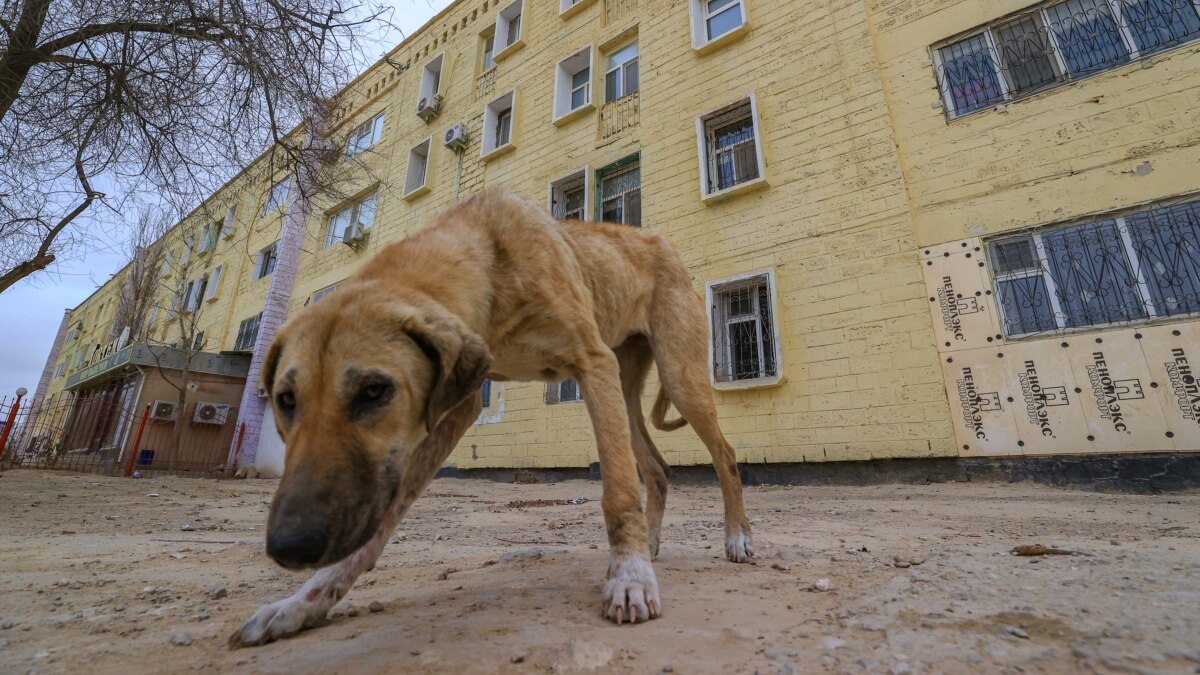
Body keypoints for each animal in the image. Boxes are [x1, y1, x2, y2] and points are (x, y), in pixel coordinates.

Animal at [229, 184, 753, 648]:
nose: (289, 545)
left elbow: (618, 491)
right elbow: (381, 522)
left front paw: (630, 577)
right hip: (623, 389)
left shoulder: (591, 363)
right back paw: (654, 540)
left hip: (677, 376)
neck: (488, 259)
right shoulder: (455, 404)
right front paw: (304, 603)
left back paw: (737, 538)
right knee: (658, 469)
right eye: (286, 400)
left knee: (724, 453)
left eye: (374, 391)